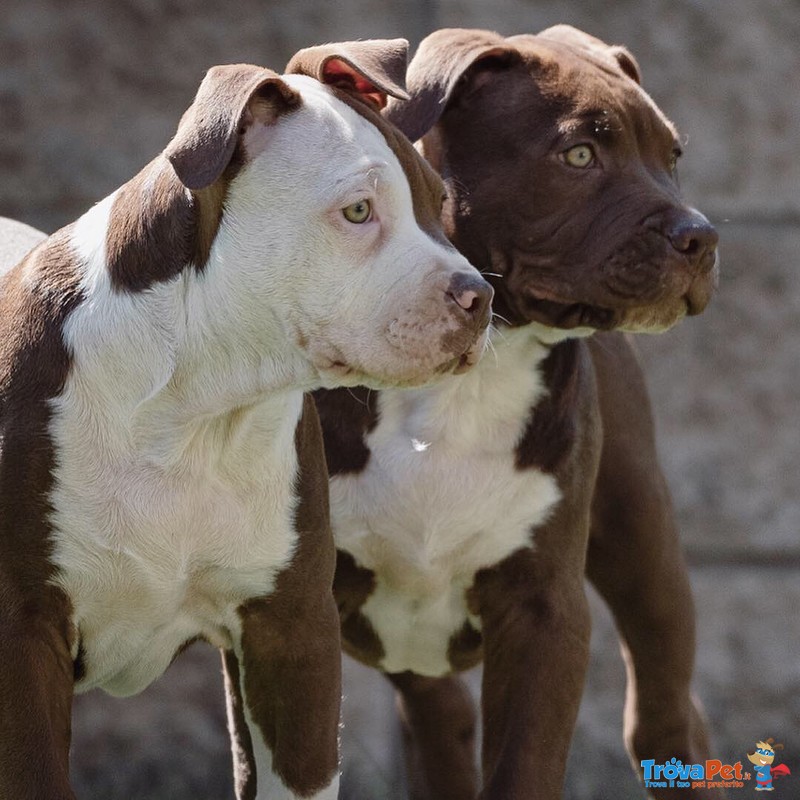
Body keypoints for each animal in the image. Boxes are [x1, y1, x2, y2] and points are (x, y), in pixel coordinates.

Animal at [0, 39, 490, 800]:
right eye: (357, 211)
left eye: (439, 203)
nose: (478, 296)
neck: (195, 405)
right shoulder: (25, 634)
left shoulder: (290, 630)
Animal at [316, 25, 720, 800]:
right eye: (579, 155)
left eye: (673, 158)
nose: (703, 237)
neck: (469, 373)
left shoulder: (545, 613)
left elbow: (524, 764)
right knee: (439, 717)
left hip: (643, 539)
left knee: (666, 708)